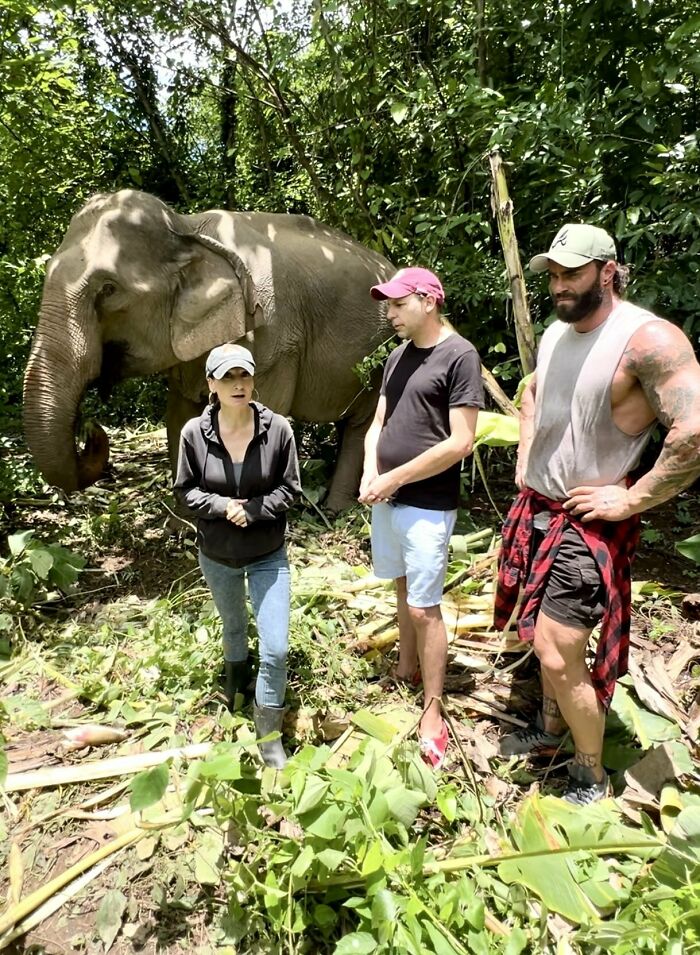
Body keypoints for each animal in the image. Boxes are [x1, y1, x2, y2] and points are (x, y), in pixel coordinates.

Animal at [21, 190, 394, 512]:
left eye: (109, 290)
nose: (91, 429)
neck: (187, 229)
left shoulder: (272, 339)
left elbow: (262, 413)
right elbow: (179, 420)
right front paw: (187, 525)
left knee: (363, 425)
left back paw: (337, 508)